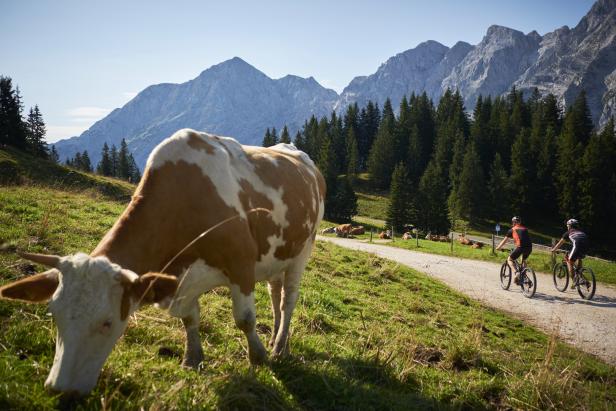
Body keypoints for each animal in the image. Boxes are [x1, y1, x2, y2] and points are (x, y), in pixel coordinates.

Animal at [0, 129, 328, 396]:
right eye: (54, 314)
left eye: (107, 322)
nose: (59, 388)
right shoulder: (180, 279)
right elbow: (189, 318)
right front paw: (192, 359)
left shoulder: (241, 262)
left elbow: (244, 319)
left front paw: (258, 357)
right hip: (278, 255)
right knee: (275, 294)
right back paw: (278, 339)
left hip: (304, 249)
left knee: (288, 300)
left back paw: (280, 347)